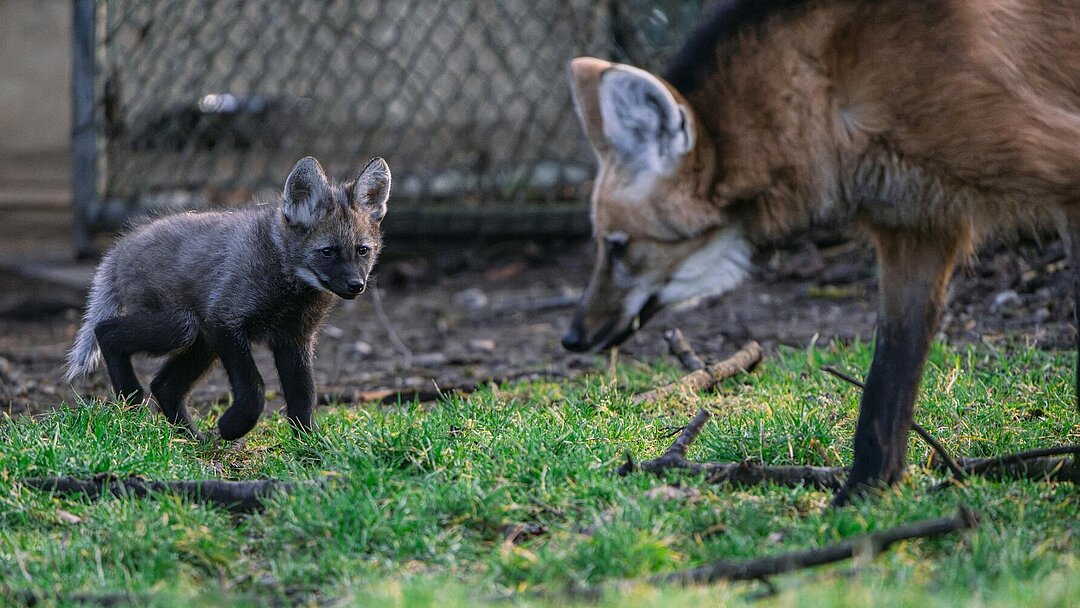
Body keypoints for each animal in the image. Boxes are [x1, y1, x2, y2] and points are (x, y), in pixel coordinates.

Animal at [66, 156, 393, 442]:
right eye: (328, 252)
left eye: (362, 251)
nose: (356, 285)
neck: (286, 281)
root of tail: (117, 249)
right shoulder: (226, 322)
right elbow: (255, 389)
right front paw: (233, 426)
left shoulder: (293, 339)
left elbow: (303, 397)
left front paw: (311, 448)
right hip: (182, 326)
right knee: (105, 331)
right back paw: (131, 399)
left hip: (202, 342)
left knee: (164, 386)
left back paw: (192, 440)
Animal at [561, 0, 1080, 505]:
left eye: (618, 246)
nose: (571, 338)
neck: (824, 85)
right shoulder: (915, 223)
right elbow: (886, 378)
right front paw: (861, 499)